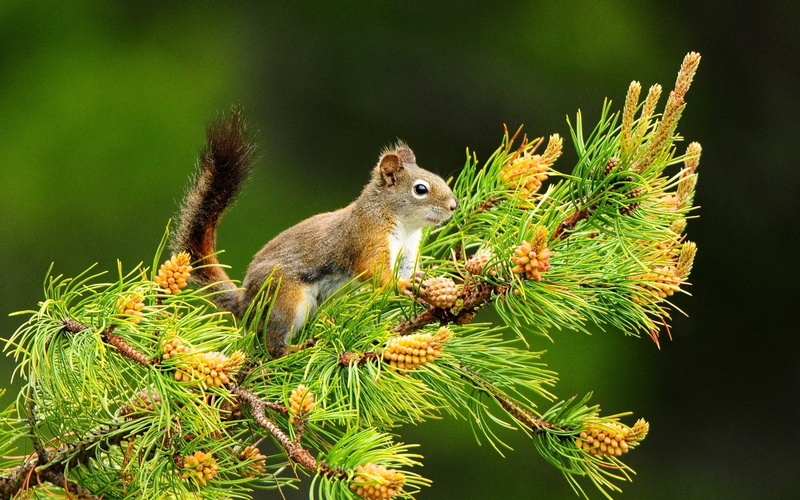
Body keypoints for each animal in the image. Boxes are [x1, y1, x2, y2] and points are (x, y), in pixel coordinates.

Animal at [173, 109, 458, 358]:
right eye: (420, 189)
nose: (453, 205)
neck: (405, 226)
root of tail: (245, 302)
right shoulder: (367, 238)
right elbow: (373, 270)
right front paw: (401, 285)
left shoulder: (408, 252)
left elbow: (409, 270)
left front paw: (423, 282)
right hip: (286, 297)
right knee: (273, 343)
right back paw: (294, 350)